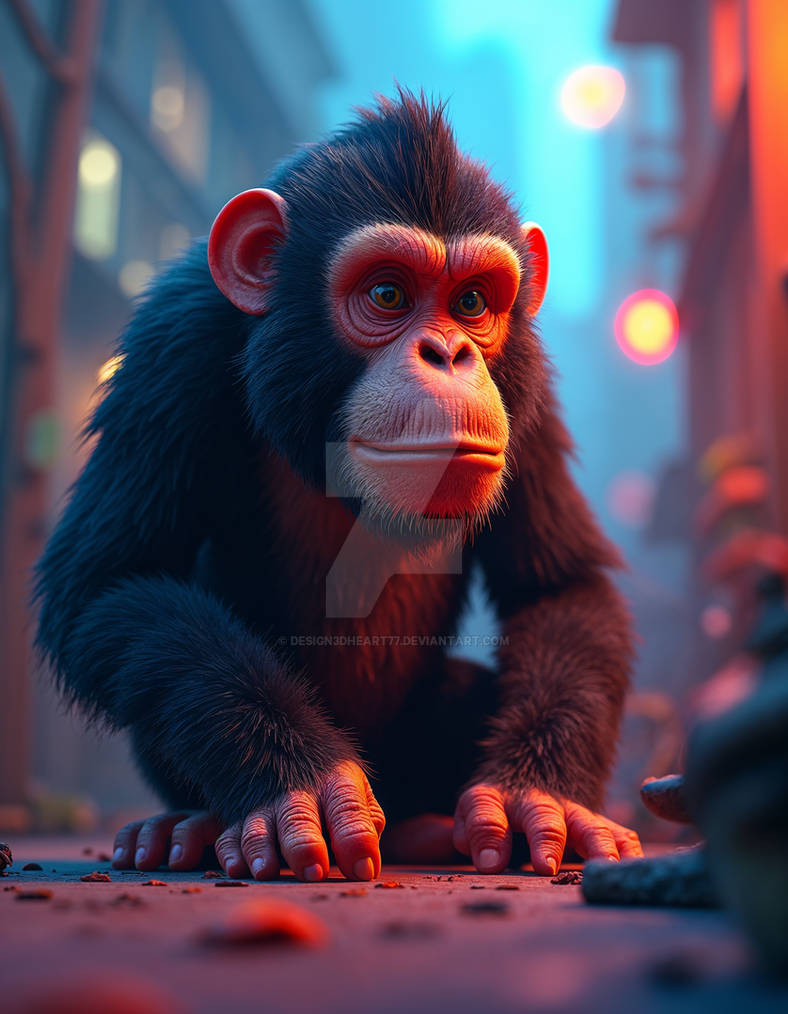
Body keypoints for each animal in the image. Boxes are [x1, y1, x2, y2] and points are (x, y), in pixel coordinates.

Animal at [34, 92, 643, 883]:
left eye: (473, 302)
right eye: (387, 293)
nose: (450, 352)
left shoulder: (526, 387)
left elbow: (557, 586)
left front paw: (538, 795)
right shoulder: (174, 338)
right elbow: (111, 579)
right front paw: (298, 780)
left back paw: (430, 829)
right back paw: (184, 827)